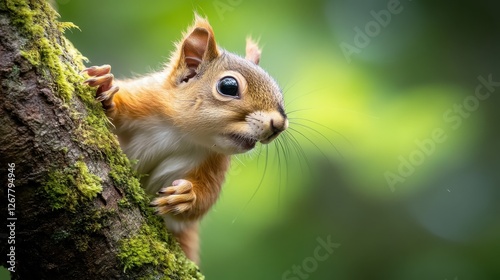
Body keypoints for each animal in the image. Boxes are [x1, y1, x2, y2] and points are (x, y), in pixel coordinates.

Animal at [81, 14, 286, 264]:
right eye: (228, 86)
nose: (279, 124)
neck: (182, 134)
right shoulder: (144, 100)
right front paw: (106, 90)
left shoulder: (214, 161)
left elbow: (205, 200)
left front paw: (187, 196)